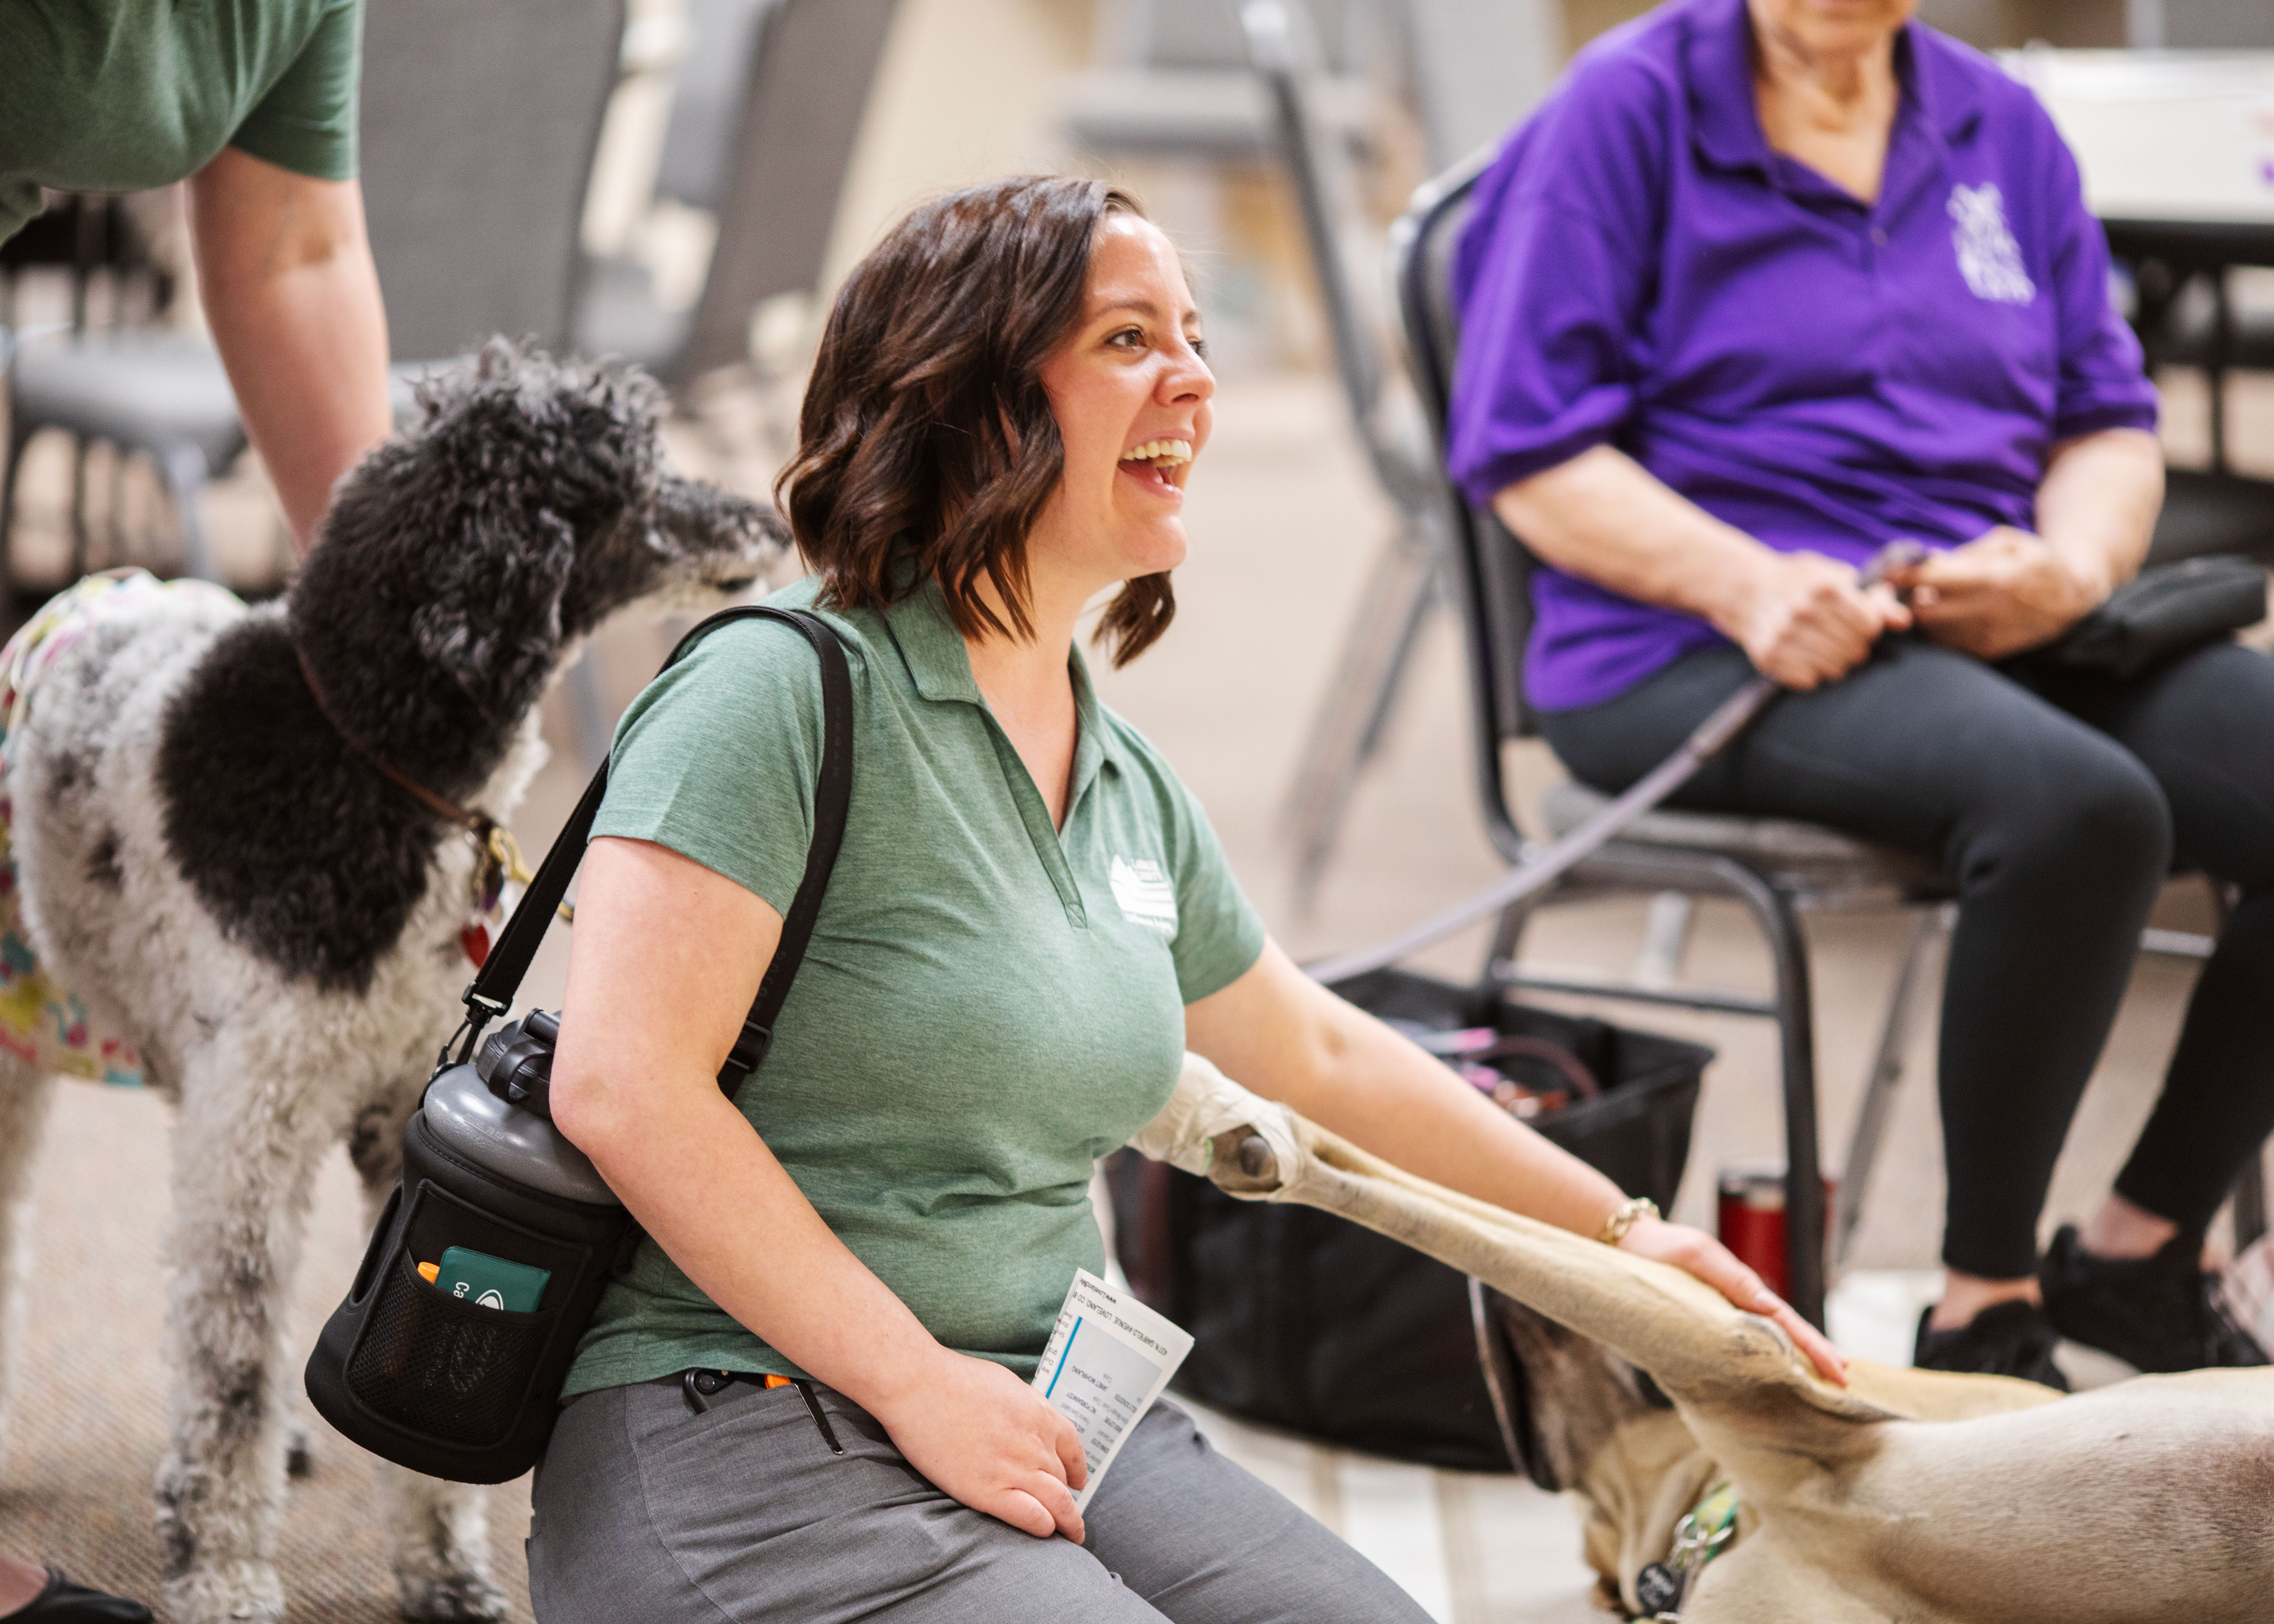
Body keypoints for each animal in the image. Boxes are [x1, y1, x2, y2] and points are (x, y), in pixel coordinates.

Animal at [0, 345, 791, 1619]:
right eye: (637, 471)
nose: (767, 516)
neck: (366, 760)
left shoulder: (394, 1123)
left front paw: (442, 1567)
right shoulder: (253, 1139)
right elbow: (228, 1370)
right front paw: (225, 1572)